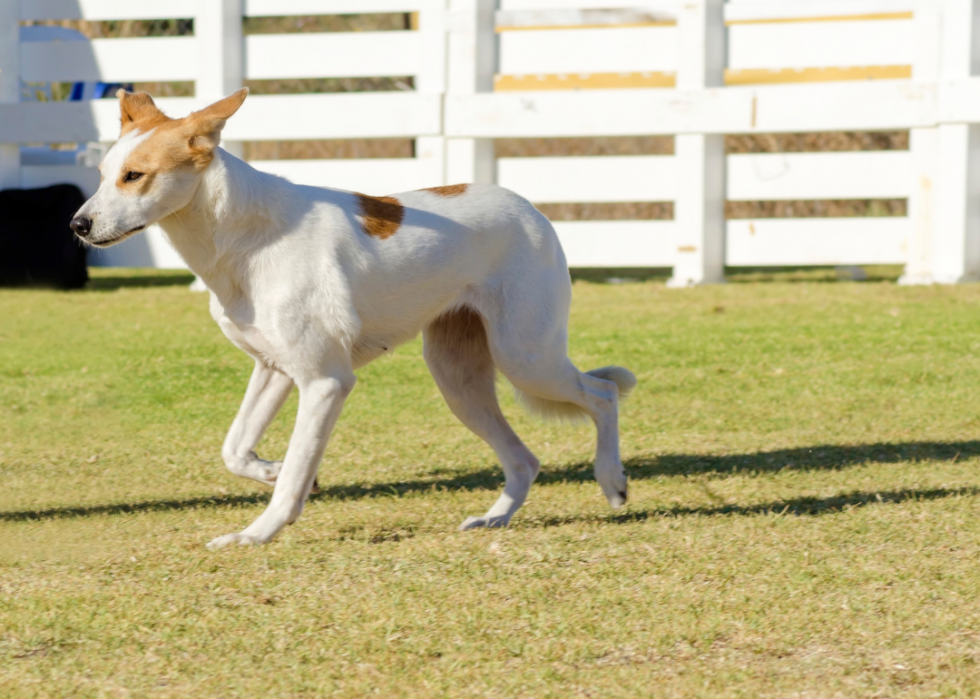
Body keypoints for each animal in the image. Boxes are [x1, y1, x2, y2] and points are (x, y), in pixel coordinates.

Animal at [69, 87, 636, 548]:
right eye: (102, 177)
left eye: (135, 176)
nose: (78, 225)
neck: (245, 237)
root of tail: (531, 208)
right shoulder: (274, 370)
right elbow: (236, 449)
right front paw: (274, 472)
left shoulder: (325, 382)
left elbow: (294, 471)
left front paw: (257, 532)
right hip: (458, 380)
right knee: (524, 459)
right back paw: (494, 519)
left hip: (526, 356)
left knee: (603, 393)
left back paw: (612, 481)